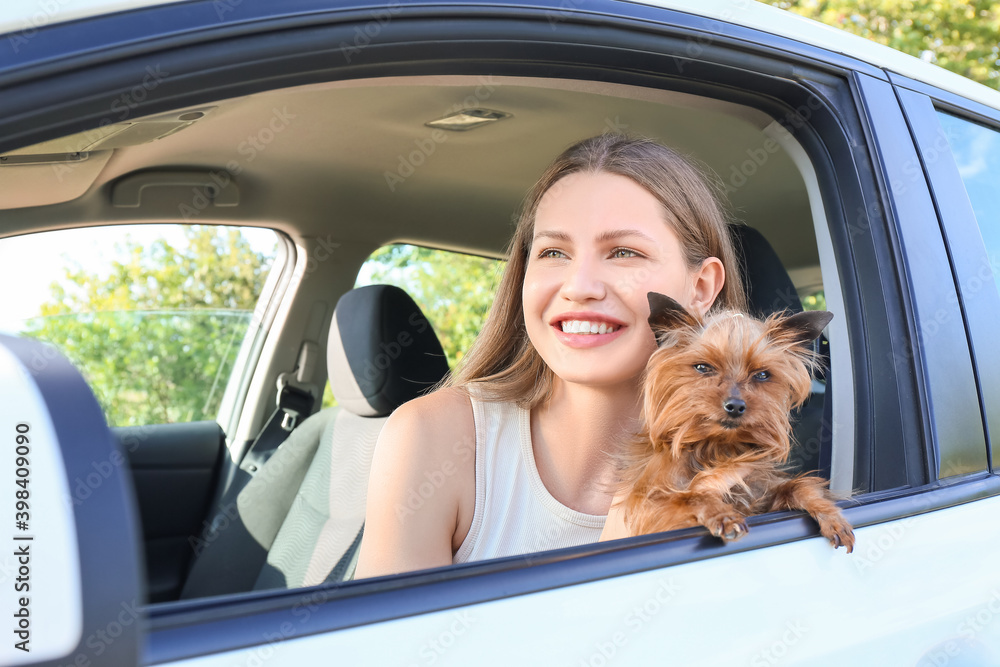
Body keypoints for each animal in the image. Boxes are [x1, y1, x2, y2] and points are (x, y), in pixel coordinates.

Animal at [616, 294, 852, 552]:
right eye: (702, 367)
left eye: (762, 375)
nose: (736, 406)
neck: (718, 447)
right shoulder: (648, 504)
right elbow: (691, 496)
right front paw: (722, 515)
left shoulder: (760, 493)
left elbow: (797, 486)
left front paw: (831, 515)